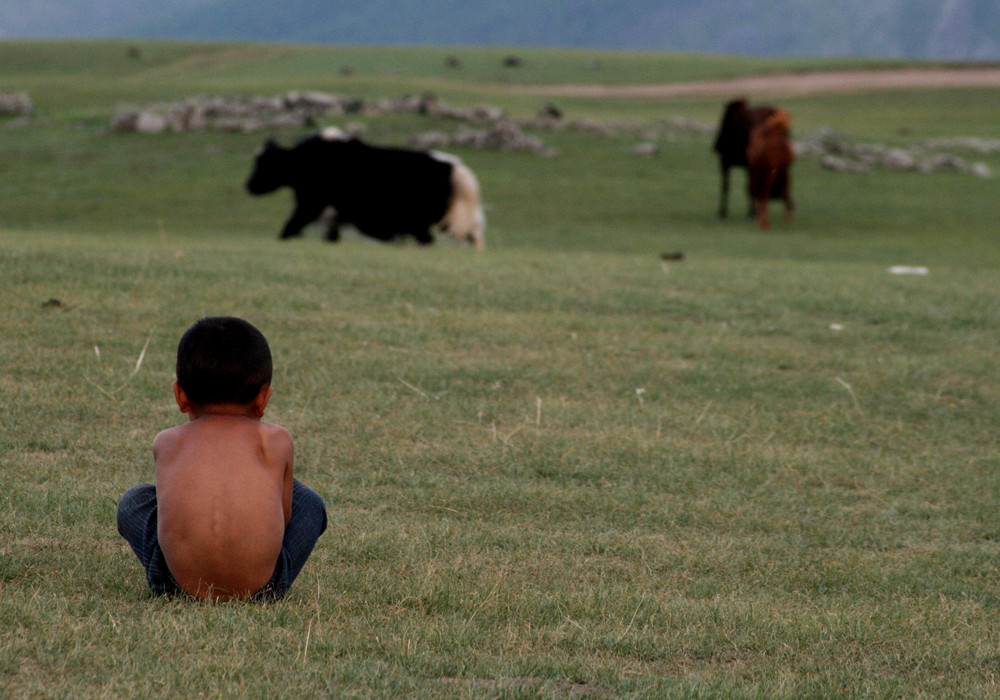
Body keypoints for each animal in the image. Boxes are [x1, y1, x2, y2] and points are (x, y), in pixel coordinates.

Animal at [248, 129, 486, 249]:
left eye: (264, 163)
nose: (248, 186)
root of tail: (454, 167)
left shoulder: (313, 202)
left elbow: (294, 221)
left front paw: (283, 237)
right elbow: (328, 231)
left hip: (427, 220)